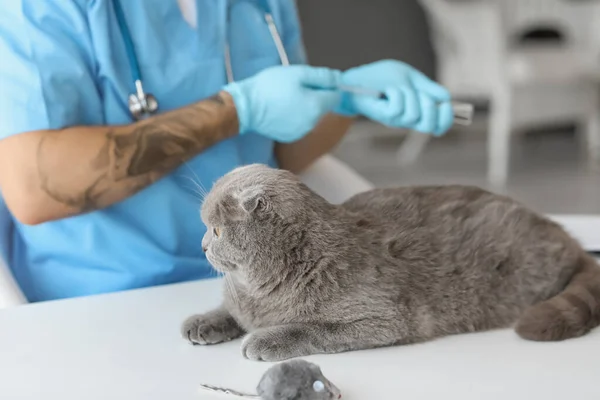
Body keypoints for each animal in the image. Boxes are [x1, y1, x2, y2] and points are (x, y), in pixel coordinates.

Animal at [182, 164, 600, 360]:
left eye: (215, 230)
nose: (201, 246)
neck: (260, 288)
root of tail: (564, 234)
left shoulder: (383, 318)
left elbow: (309, 328)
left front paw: (265, 339)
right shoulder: (241, 302)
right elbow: (229, 310)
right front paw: (204, 321)